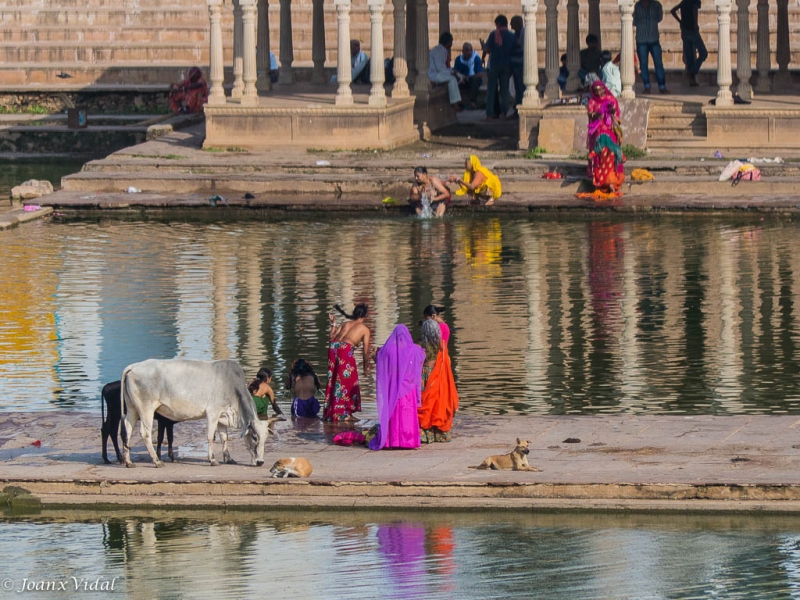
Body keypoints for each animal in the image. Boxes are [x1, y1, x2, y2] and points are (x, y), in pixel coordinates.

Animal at [117, 356, 270, 468]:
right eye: (255, 437)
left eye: (265, 439)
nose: (260, 462)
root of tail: (134, 366)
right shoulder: (213, 412)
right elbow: (210, 437)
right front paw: (212, 460)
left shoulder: (223, 415)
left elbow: (224, 437)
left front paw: (228, 458)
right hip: (146, 410)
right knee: (145, 433)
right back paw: (157, 461)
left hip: (132, 409)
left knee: (128, 430)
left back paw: (129, 462)